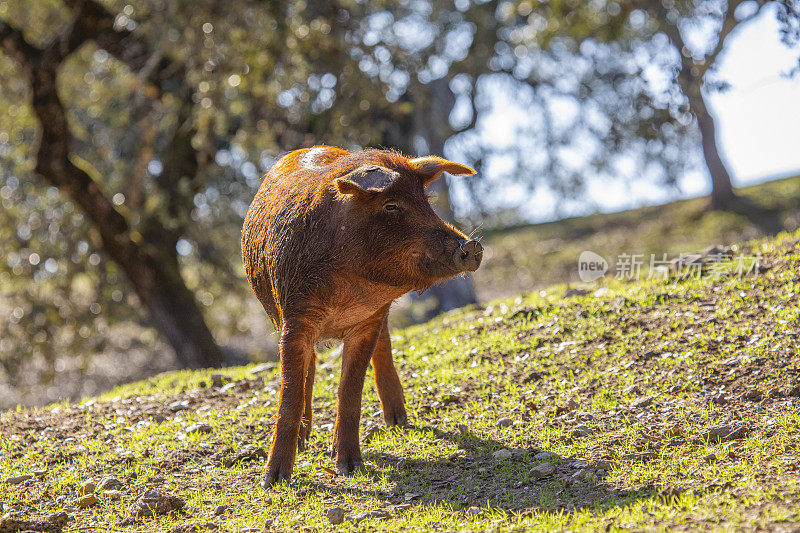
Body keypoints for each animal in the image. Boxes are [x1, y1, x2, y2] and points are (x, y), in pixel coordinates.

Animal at [241, 145, 484, 486]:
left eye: (426, 202)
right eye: (391, 205)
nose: (471, 245)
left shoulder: (367, 322)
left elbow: (350, 391)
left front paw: (349, 467)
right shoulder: (294, 316)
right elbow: (290, 394)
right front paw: (274, 481)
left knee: (384, 347)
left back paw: (397, 422)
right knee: (311, 365)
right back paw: (303, 441)